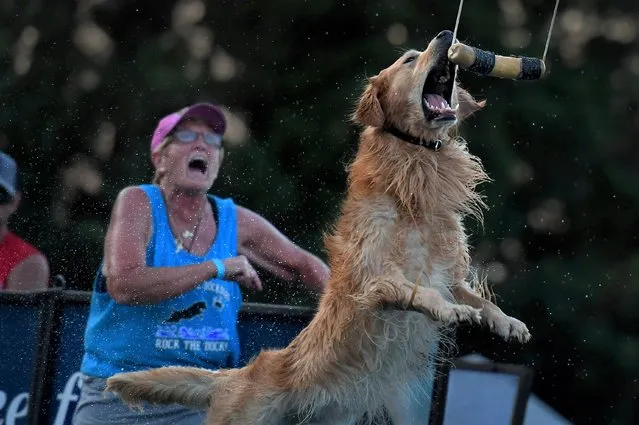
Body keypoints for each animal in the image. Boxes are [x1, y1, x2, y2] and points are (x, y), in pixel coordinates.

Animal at [107, 30, 532, 424]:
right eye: (410, 59)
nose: (446, 35)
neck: (415, 178)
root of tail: (238, 375)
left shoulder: (450, 273)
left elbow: (480, 300)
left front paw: (507, 323)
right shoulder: (374, 277)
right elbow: (419, 291)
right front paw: (449, 310)